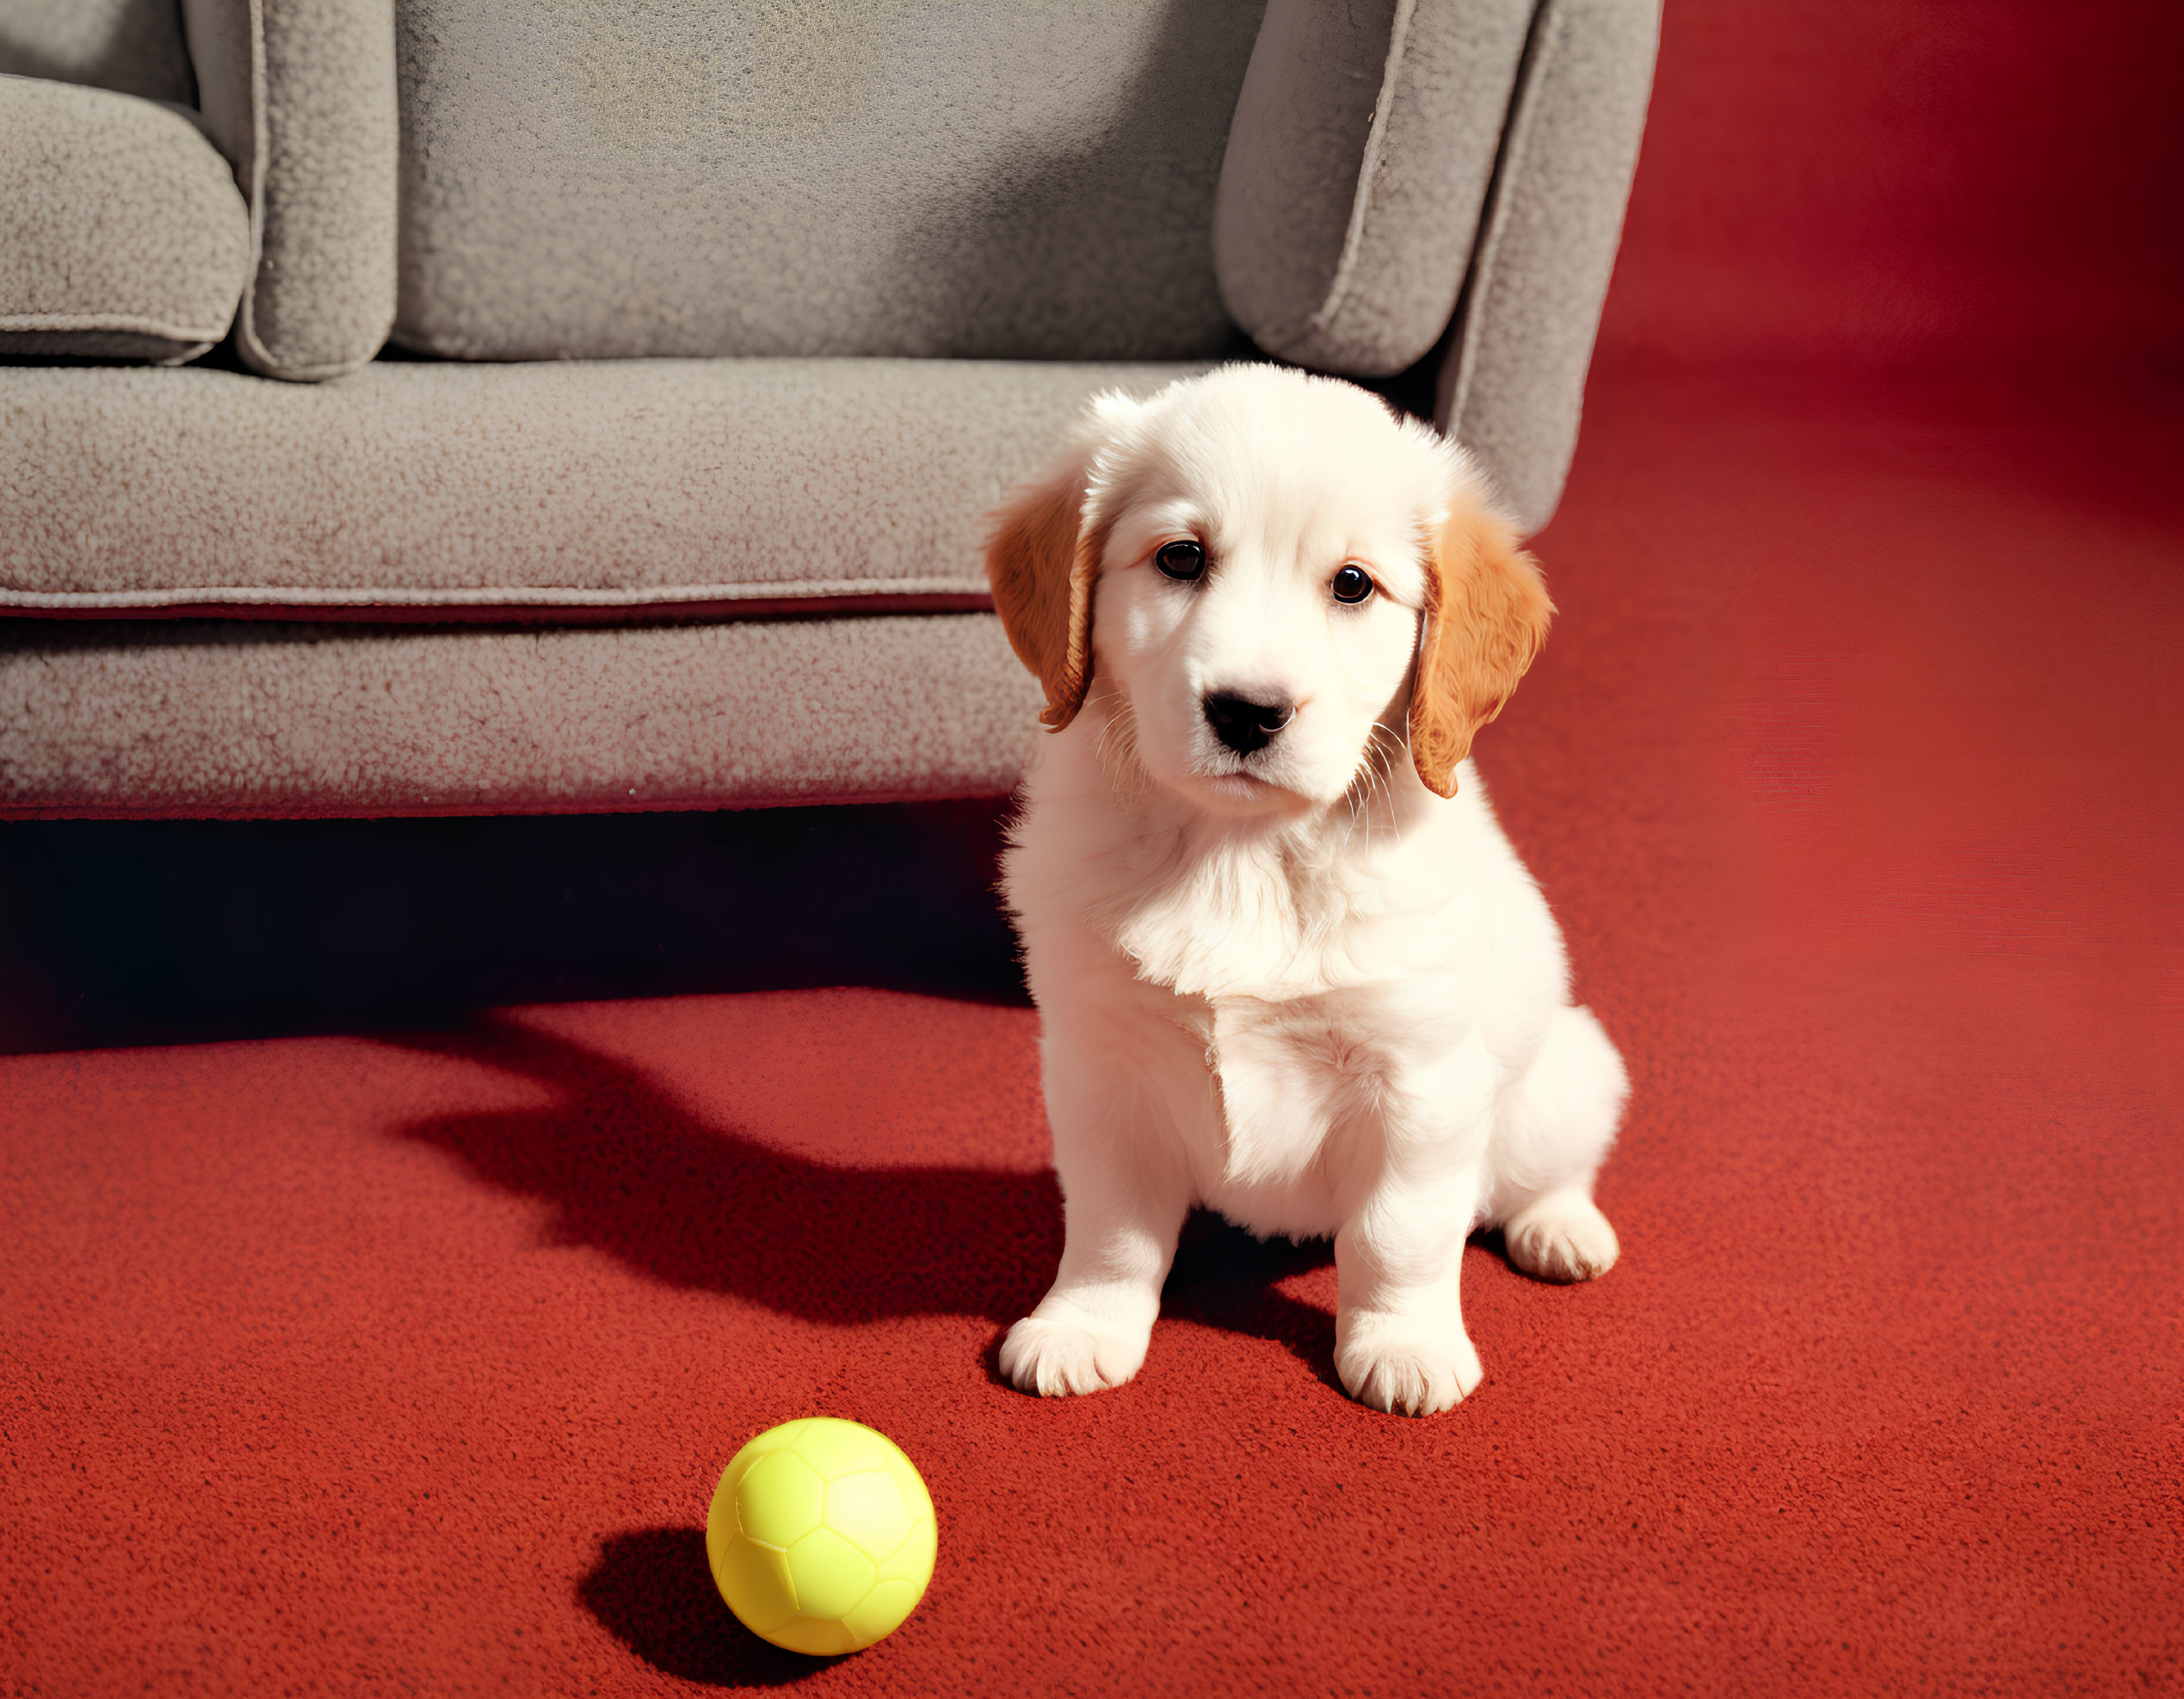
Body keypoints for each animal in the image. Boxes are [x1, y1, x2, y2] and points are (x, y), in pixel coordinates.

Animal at [983, 364, 1633, 1406]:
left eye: (1354, 585)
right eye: (1180, 558)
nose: (1248, 713)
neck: (1243, 854)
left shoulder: (1419, 1080)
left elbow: (1399, 1234)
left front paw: (1403, 1343)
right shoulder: (1100, 1065)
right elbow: (1112, 1228)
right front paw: (1083, 1324)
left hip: (1567, 1070)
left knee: (1546, 1169)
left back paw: (1561, 1228)